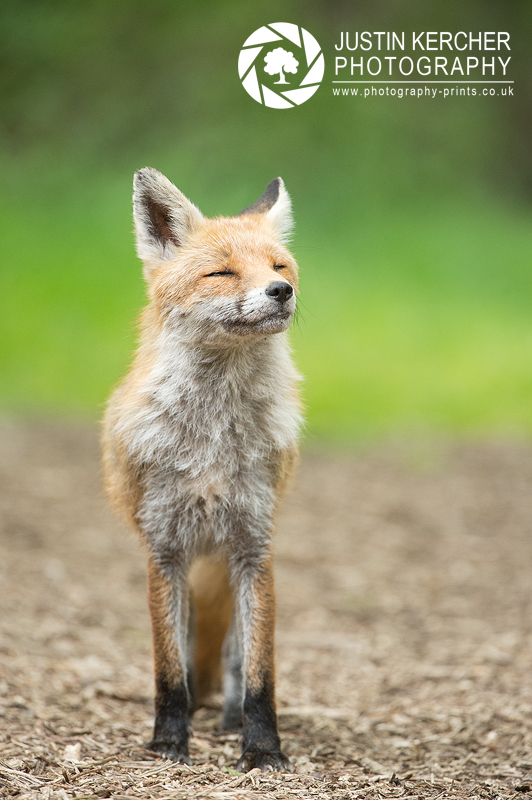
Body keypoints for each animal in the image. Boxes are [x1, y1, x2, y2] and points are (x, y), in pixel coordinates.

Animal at [103, 170, 304, 776]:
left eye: (279, 267)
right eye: (222, 272)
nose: (281, 292)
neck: (212, 440)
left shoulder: (254, 547)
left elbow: (261, 674)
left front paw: (262, 750)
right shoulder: (164, 550)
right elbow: (169, 671)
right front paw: (170, 742)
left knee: (235, 657)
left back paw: (230, 719)